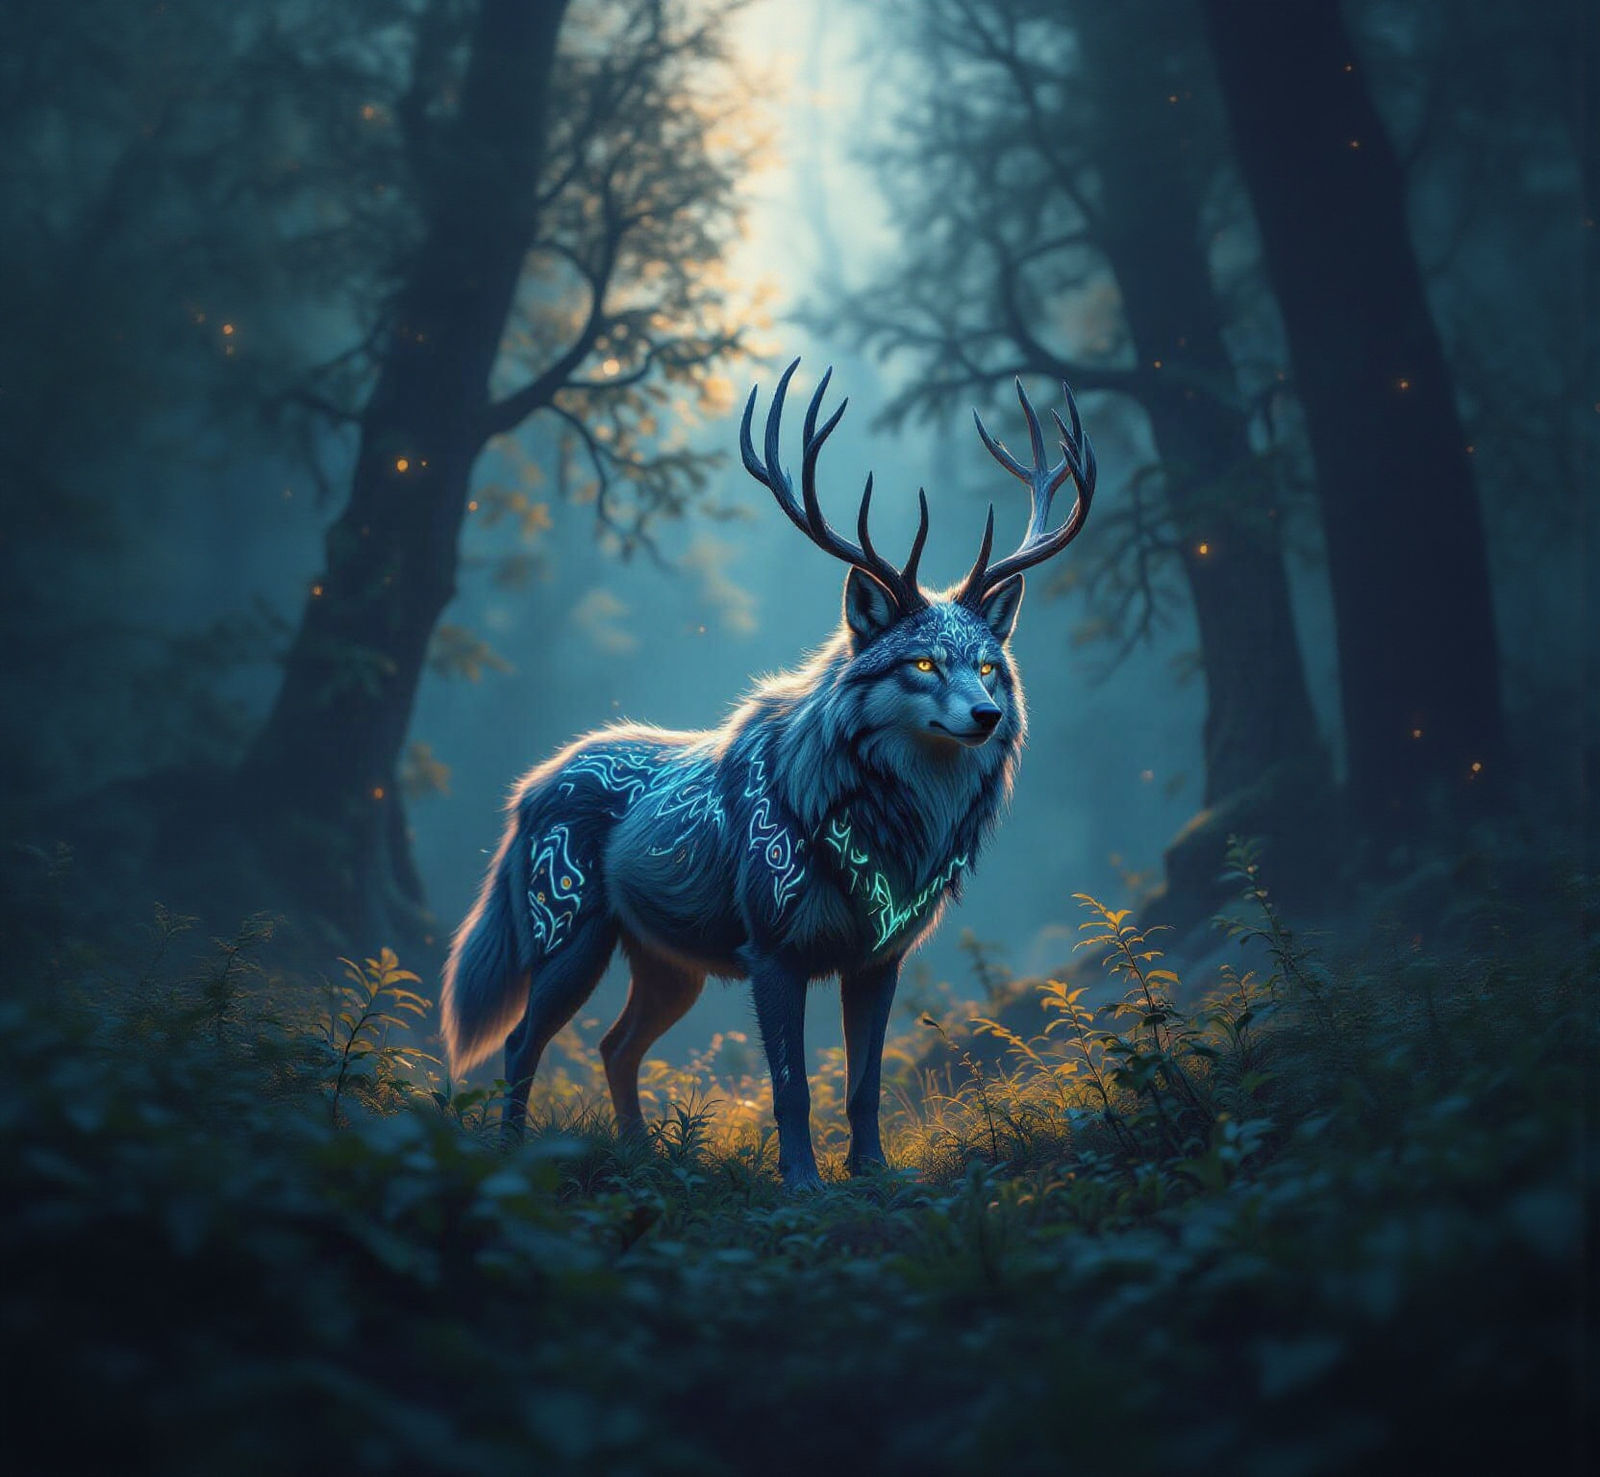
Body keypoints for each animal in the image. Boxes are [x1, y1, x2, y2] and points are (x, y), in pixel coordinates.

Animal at [441, 359, 1097, 1190]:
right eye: (921, 663)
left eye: (987, 666)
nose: (985, 716)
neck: (894, 832)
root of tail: (529, 789)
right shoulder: (775, 952)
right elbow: (793, 1085)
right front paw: (803, 1183)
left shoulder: (879, 958)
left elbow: (864, 1083)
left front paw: (873, 1171)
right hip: (571, 937)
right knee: (522, 1039)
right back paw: (512, 1156)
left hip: (668, 966)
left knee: (614, 1045)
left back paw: (641, 1155)